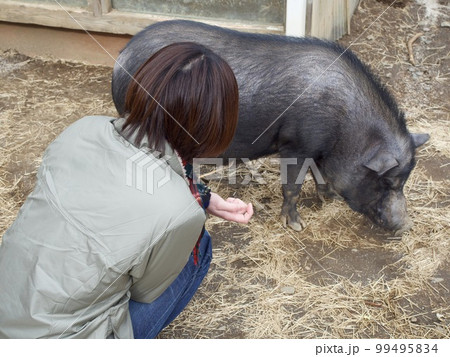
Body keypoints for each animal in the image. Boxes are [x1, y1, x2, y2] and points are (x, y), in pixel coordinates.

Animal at [110, 20, 428, 235]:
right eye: (387, 182)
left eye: (404, 181)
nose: (406, 226)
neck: (346, 127)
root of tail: (121, 57)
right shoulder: (295, 144)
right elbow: (293, 185)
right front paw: (296, 226)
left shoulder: (317, 150)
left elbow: (319, 175)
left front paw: (330, 198)